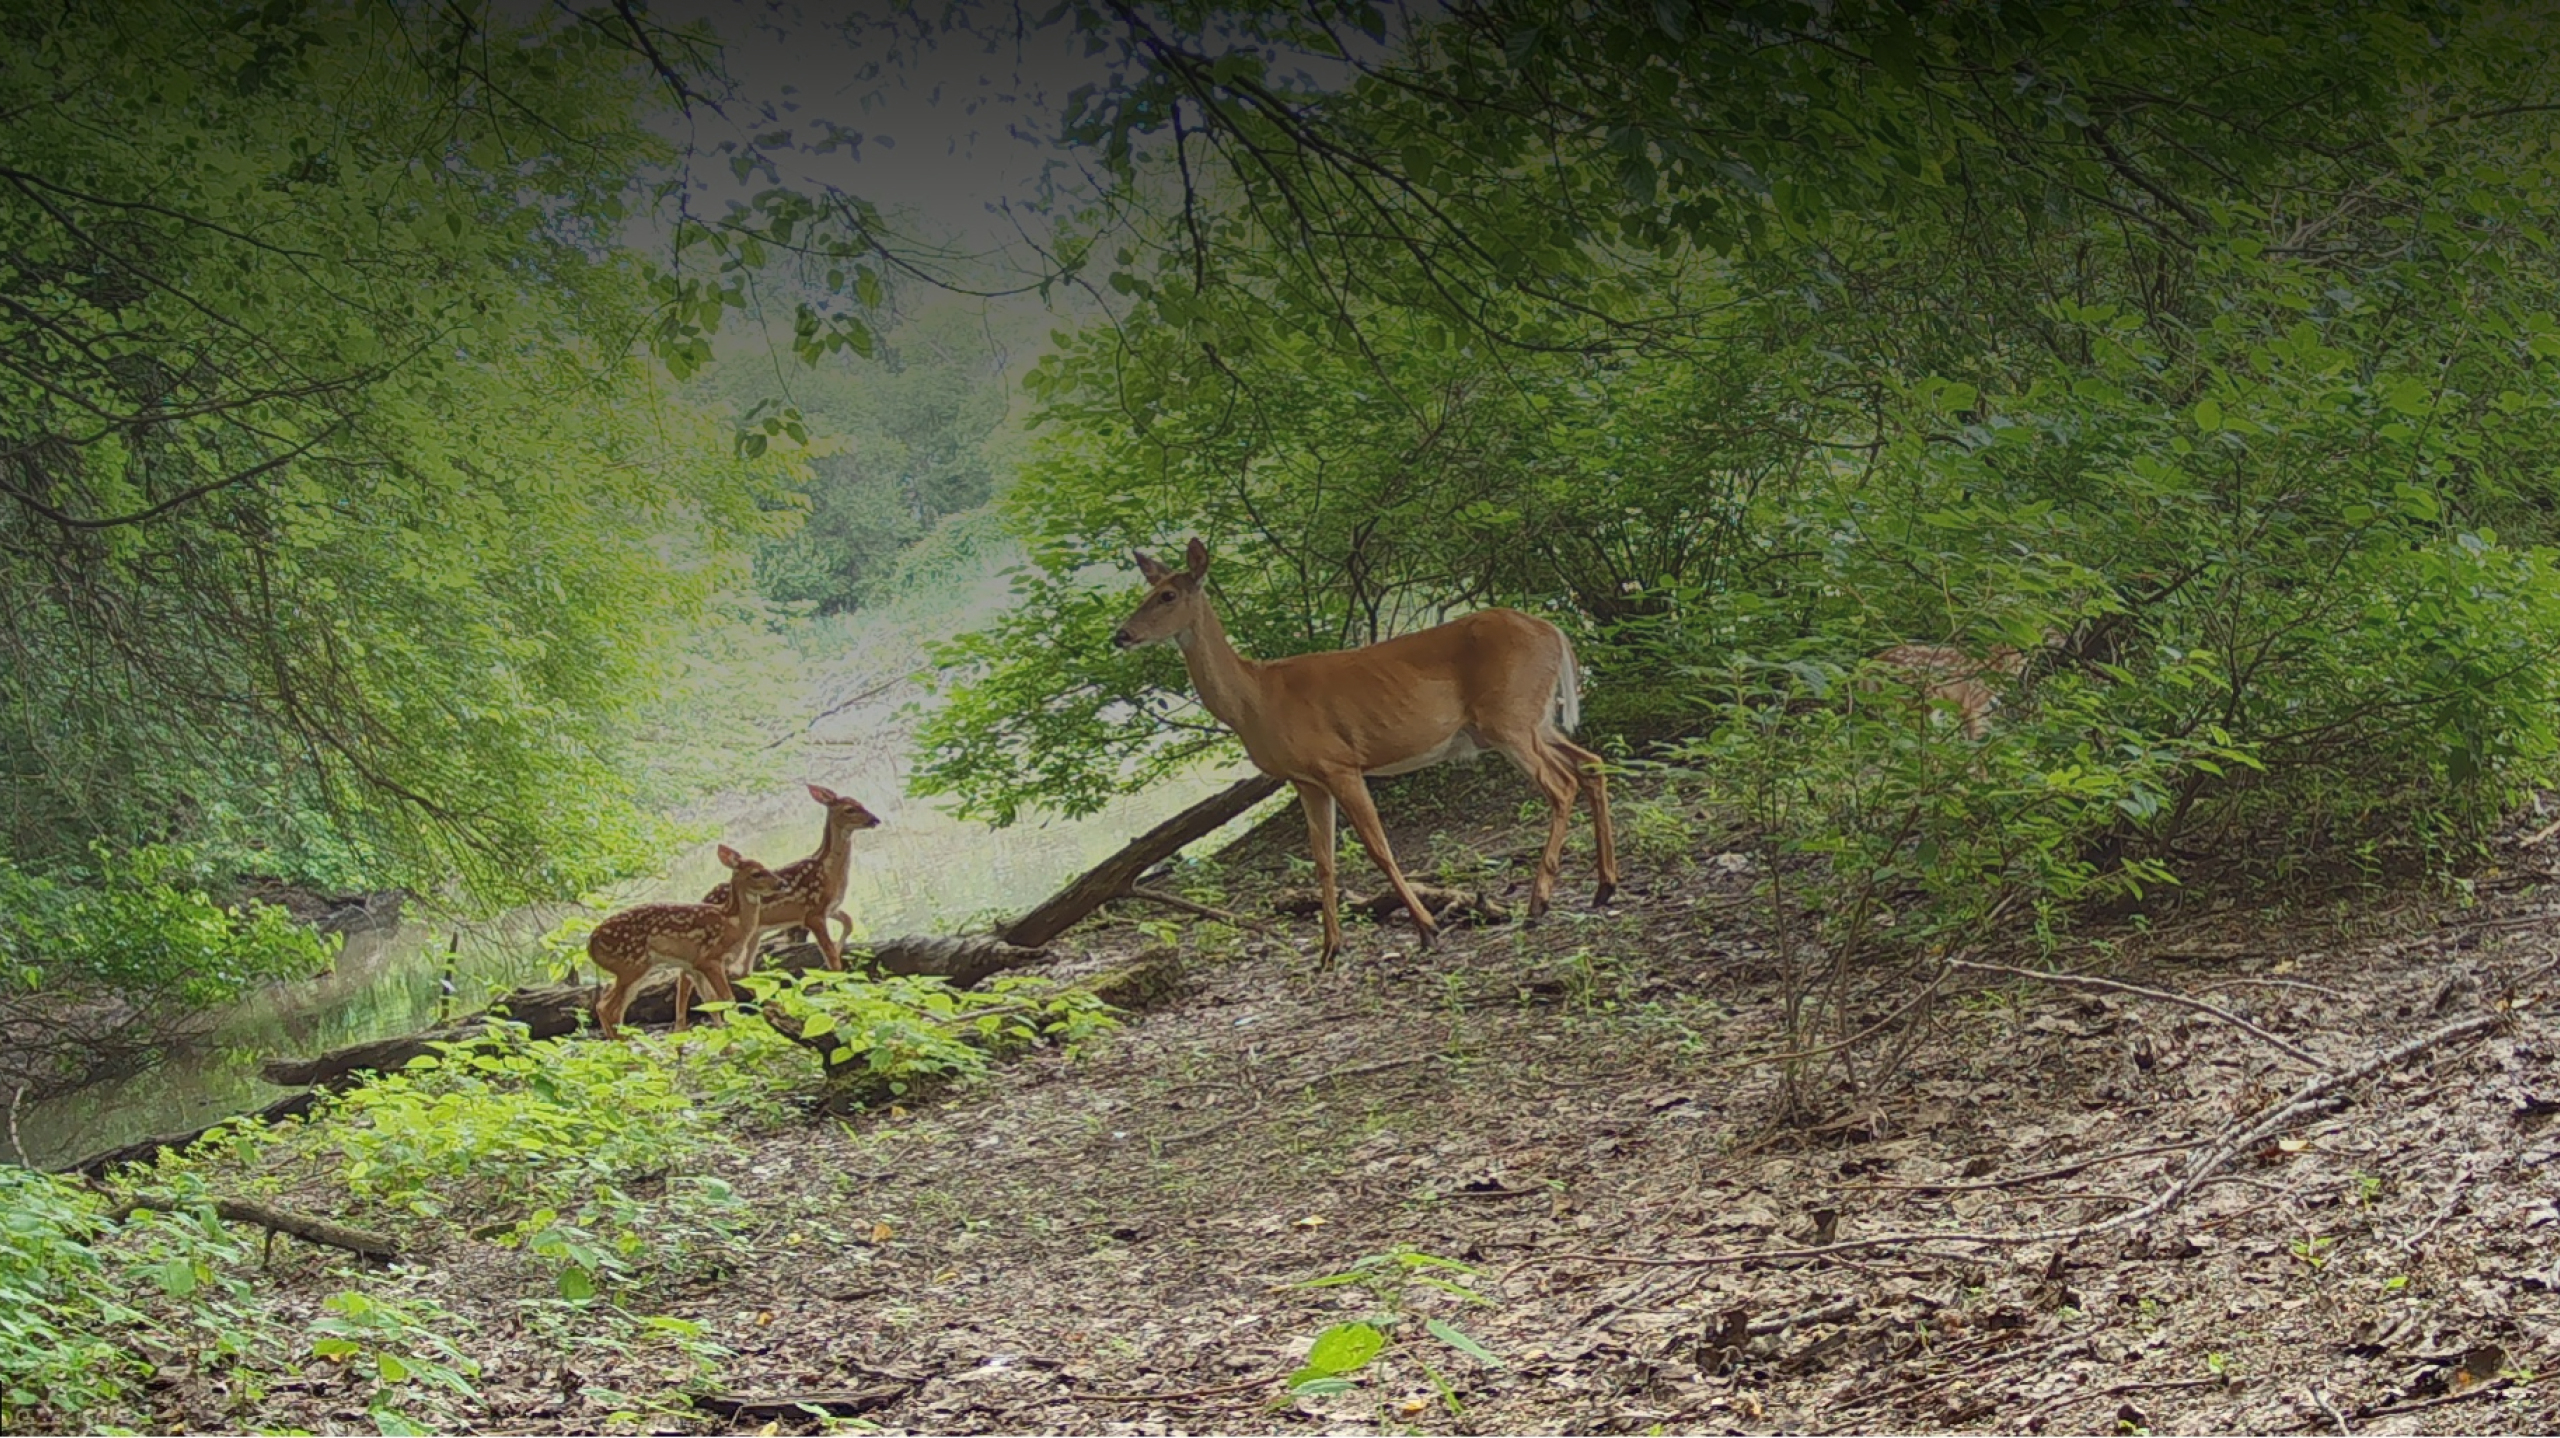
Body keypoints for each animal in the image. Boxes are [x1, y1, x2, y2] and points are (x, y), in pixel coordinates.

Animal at [588, 844, 783, 1038]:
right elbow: (727, 998)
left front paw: (723, 1037)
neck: (733, 922)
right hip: (631, 965)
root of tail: (591, 945)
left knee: (610, 1007)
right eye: (756, 873)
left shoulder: (693, 966)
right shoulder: (710, 958)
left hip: (631, 970)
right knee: (607, 1007)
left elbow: (710, 1002)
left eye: (765, 866)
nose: (781, 883)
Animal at [680, 784, 882, 1024]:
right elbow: (831, 955)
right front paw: (838, 986)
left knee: (738, 972)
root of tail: (704, 898)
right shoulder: (813, 912)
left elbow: (848, 923)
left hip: (754, 934)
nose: (875, 819)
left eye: (861, 803)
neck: (828, 870)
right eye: (850, 809)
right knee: (689, 976)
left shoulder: (830, 908)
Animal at [1113, 538, 1617, 965]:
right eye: (1146, 591)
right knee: (1592, 764)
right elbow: (1324, 863)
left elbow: (1379, 849)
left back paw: (1538, 902)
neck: (1255, 700)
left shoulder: (1339, 763)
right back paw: (1604, 887)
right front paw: (1330, 951)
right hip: (1535, 720)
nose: (1121, 635)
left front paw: (1427, 929)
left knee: (1561, 785)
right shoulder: (1305, 780)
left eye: (1167, 595)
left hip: (1508, 718)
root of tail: (1554, 631)